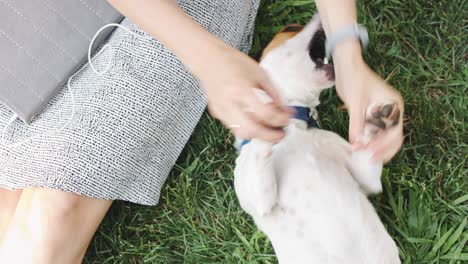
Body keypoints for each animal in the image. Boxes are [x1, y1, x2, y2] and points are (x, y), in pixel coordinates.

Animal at [234, 14, 402, 264]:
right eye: (290, 28)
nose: (320, 15)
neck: (295, 129)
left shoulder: (368, 181)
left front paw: (376, 123)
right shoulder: (260, 200)